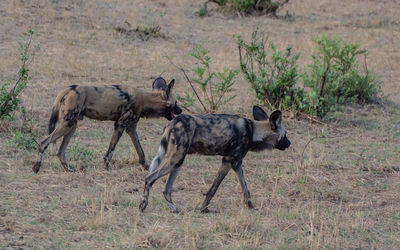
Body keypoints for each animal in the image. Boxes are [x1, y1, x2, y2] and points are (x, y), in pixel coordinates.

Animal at [32, 77, 183, 173]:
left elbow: (140, 151)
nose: (181, 111)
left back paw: (68, 169)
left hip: (72, 126)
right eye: (176, 104)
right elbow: (110, 151)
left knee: (60, 151)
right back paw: (36, 167)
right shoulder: (120, 125)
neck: (146, 100)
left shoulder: (131, 128)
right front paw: (106, 167)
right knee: (43, 142)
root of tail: (68, 89)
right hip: (66, 124)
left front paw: (146, 167)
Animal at [140, 105, 290, 213]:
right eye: (285, 134)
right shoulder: (227, 161)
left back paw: (174, 209)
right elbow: (213, 188)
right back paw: (143, 206)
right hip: (176, 159)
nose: (289, 143)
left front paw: (251, 207)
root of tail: (172, 122)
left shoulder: (236, 164)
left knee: (166, 189)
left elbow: (245, 189)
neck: (253, 130)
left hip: (178, 161)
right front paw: (203, 208)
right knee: (149, 178)